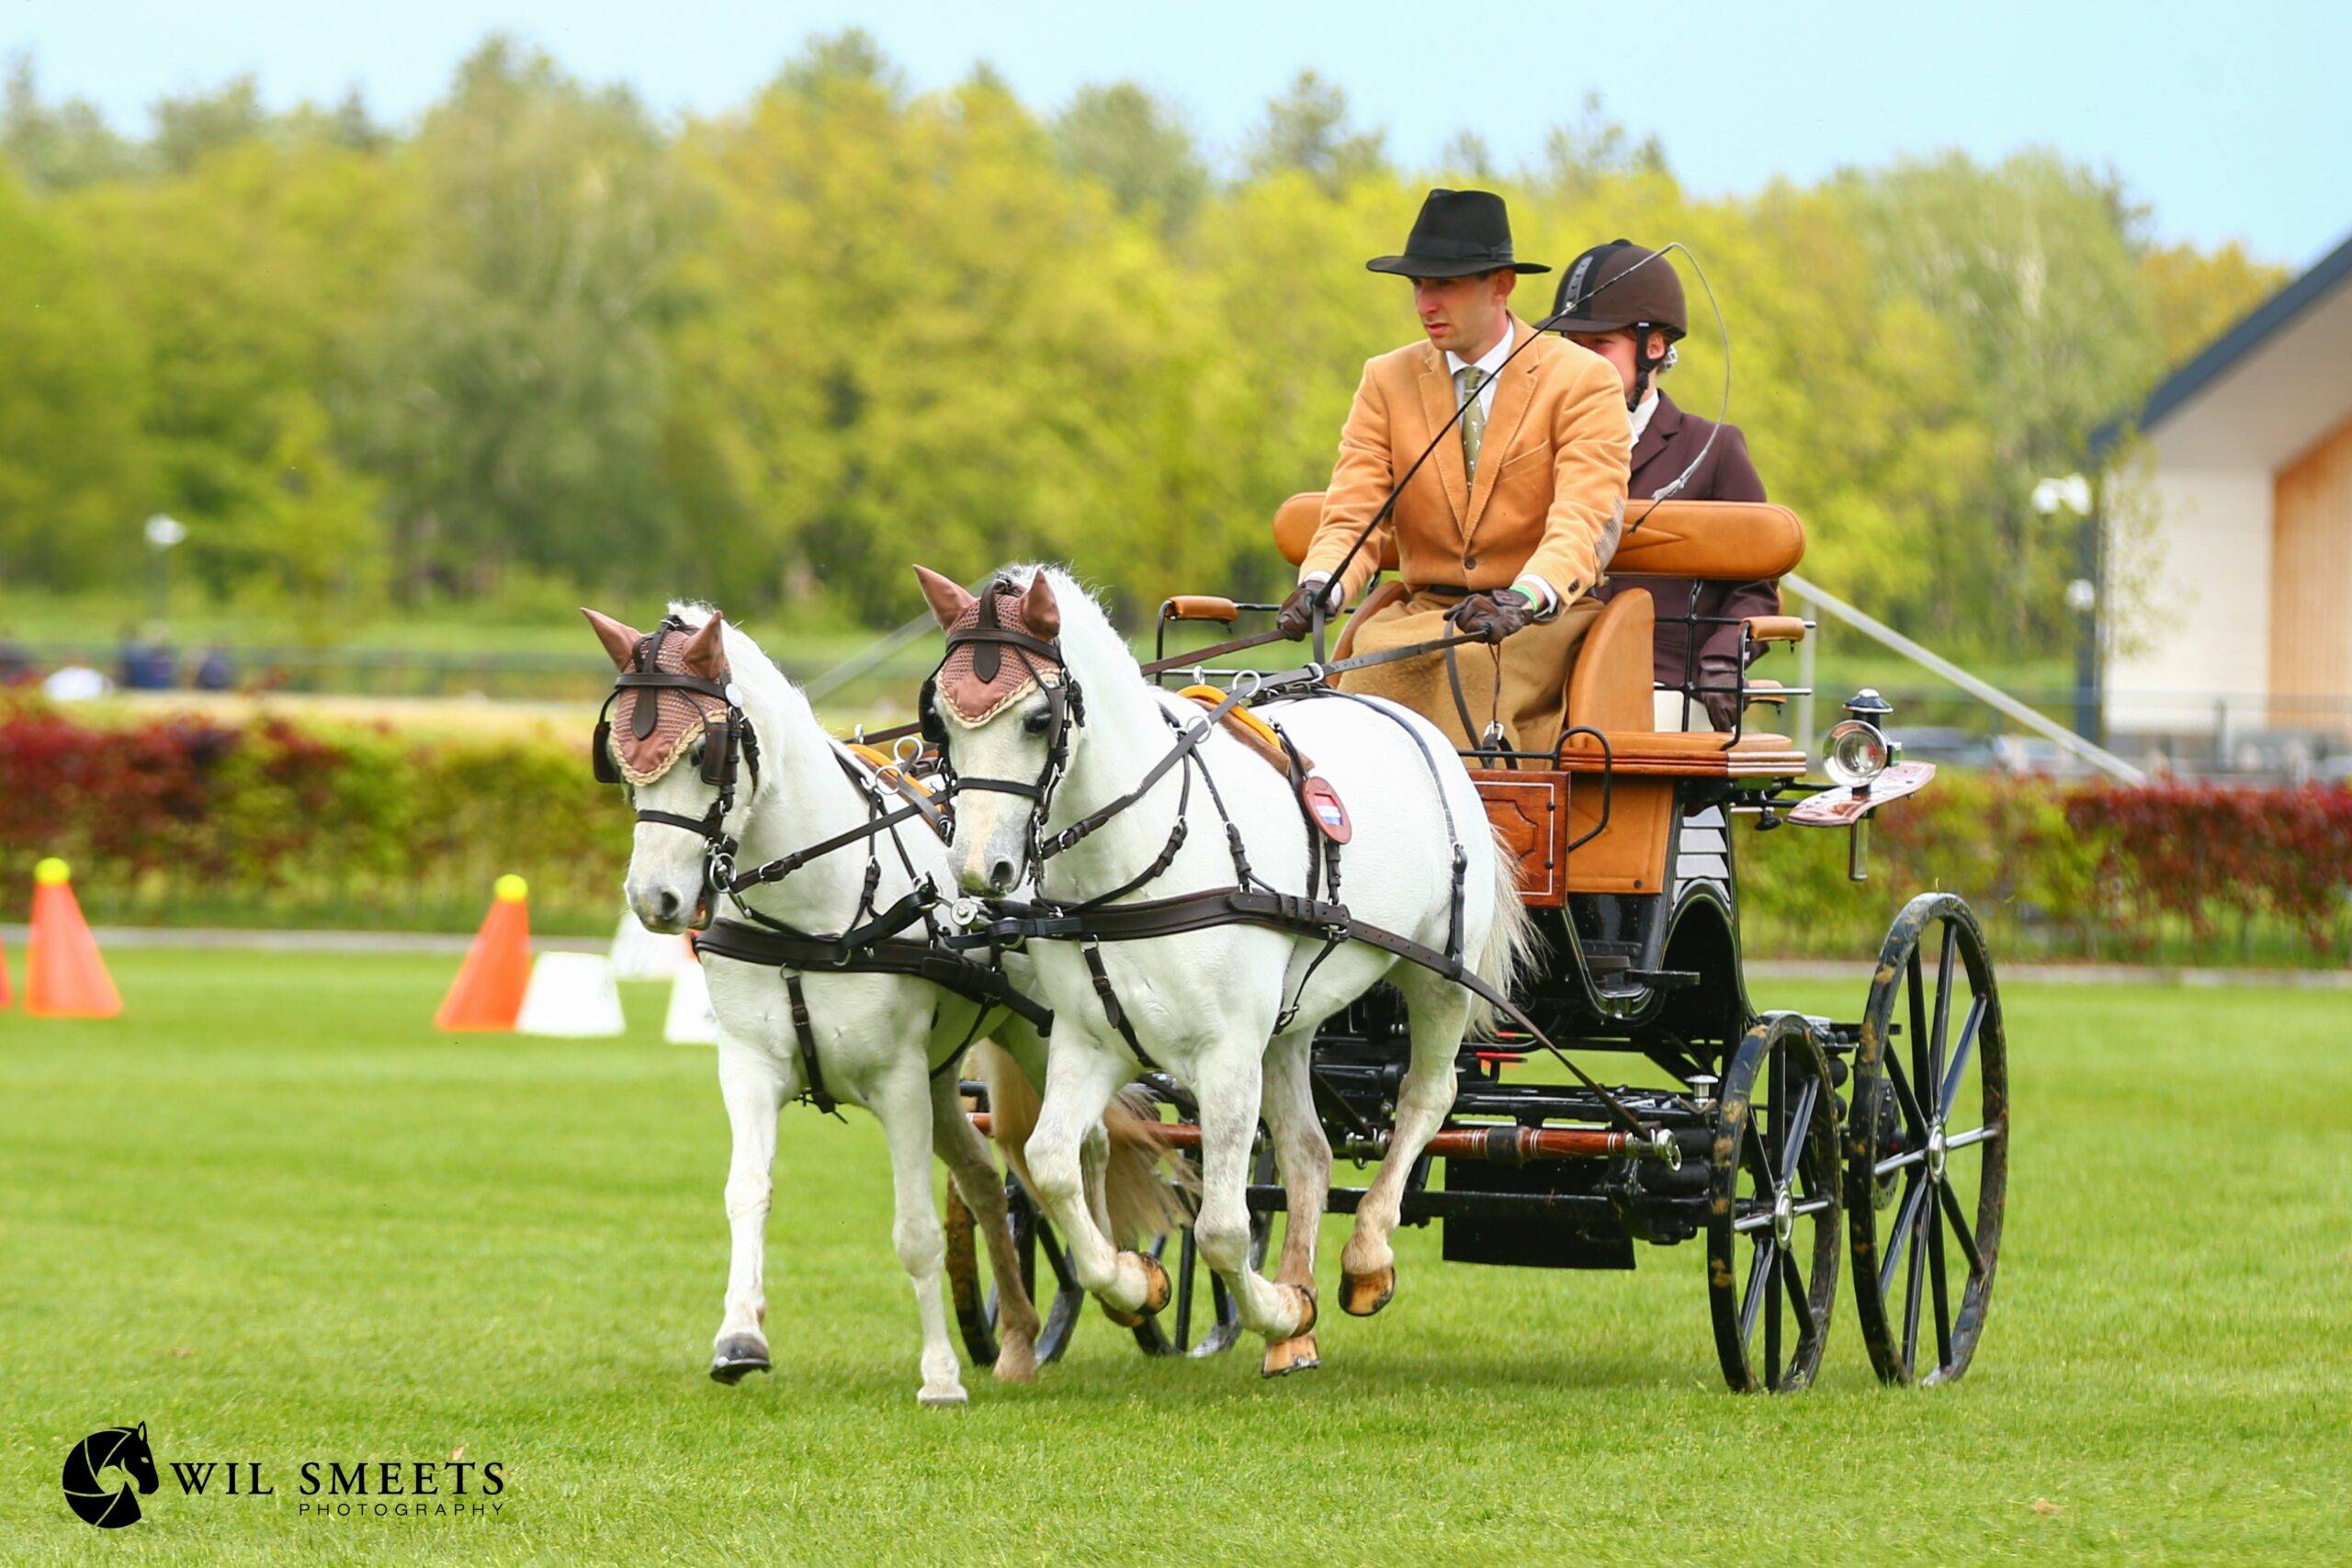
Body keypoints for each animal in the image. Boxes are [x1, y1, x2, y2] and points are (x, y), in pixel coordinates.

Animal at [584, 603, 1181, 1406]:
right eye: (619, 756)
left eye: (704, 754)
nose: (656, 900)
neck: (814, 907)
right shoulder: (749, 1068)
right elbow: (747, 1193)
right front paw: (739, 1337)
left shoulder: (897, 1081)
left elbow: (915, 1230)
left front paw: (939, 1376)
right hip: (945, 1072)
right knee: (988, 1179)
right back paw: (1019, 1337)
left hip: (1047, 1034)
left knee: (1082, 1146)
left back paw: (1124, 1280)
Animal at [912, 565, 1533, 1375]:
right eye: (939, 722)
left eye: (1037, 720)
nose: (979, 868)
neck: (1139, 857)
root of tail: (1421, 726)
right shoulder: (1089, 1040)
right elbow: (1049, 1163)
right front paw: (1137, 1282)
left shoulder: (1227, 1055)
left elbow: (1220, 1227)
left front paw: (1277, 1305)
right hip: (1291, 1021)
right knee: (1309, 1150)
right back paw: (1296, 1327)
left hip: (1439, 980)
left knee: (1426, 1098)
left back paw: (1365, 1256)